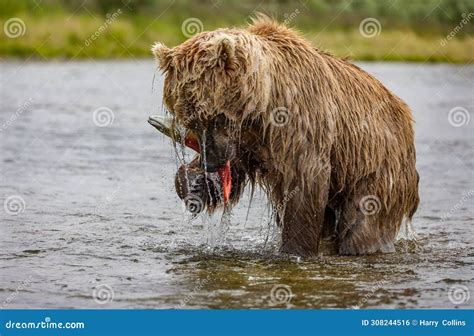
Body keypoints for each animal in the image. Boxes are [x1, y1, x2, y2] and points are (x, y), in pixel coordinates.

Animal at [151, 17, 418, 256]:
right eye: (190, 119)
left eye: (215, 116)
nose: (211, 162)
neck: (262, 103)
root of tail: (405, 115)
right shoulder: (248, 142)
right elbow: (235, 170)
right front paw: (196, 182)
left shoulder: (299, 124)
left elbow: (305, 184)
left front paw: (294, 251)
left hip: (375, 166)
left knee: (364, 222)